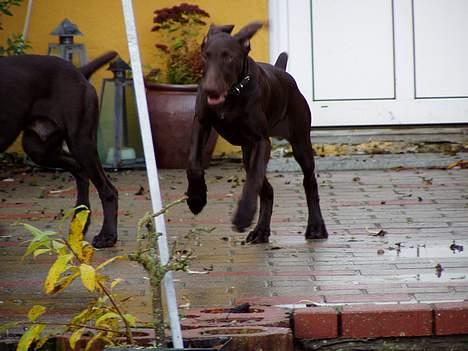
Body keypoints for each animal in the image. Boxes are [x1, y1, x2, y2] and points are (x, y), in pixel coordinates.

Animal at [0, 53, 120, 250]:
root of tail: (78, 72)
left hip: (80, 140)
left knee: (107, 189)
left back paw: (107, 236)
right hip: (40, 149)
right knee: (80, 171)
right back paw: (80, 222)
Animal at [185, 21, 328, 242]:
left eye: (228, 57)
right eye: (205, 56)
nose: (210, 90)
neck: (233, 95)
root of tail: (283, 73)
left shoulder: (261, 142)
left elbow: (252, 180)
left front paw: (243, 215)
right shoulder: (201, 124)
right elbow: (193, 164)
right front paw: (196, 198)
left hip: (300, 141)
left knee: (309, 182)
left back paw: (315, 226)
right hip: (247, 151)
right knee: (268, 190)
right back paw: (261, 230)